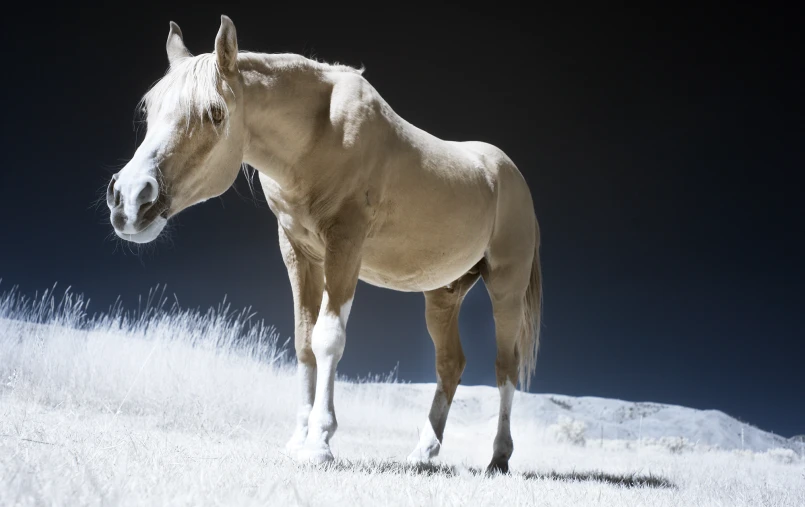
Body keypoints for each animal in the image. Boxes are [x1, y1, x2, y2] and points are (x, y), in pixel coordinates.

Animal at [105, 16, 540, 476]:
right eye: (149, 110)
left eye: (215, 113)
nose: (129, 199)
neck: (322, 134)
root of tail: (509, 174)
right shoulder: (298, 252)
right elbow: (303, 341)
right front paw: (298, 440)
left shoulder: (344, 247)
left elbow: (328, 338)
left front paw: (320, 444)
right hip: (442, 294)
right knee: (450, 365)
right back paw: (423, 453)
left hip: (506, 290)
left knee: (505, 367)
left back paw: (498, 457)